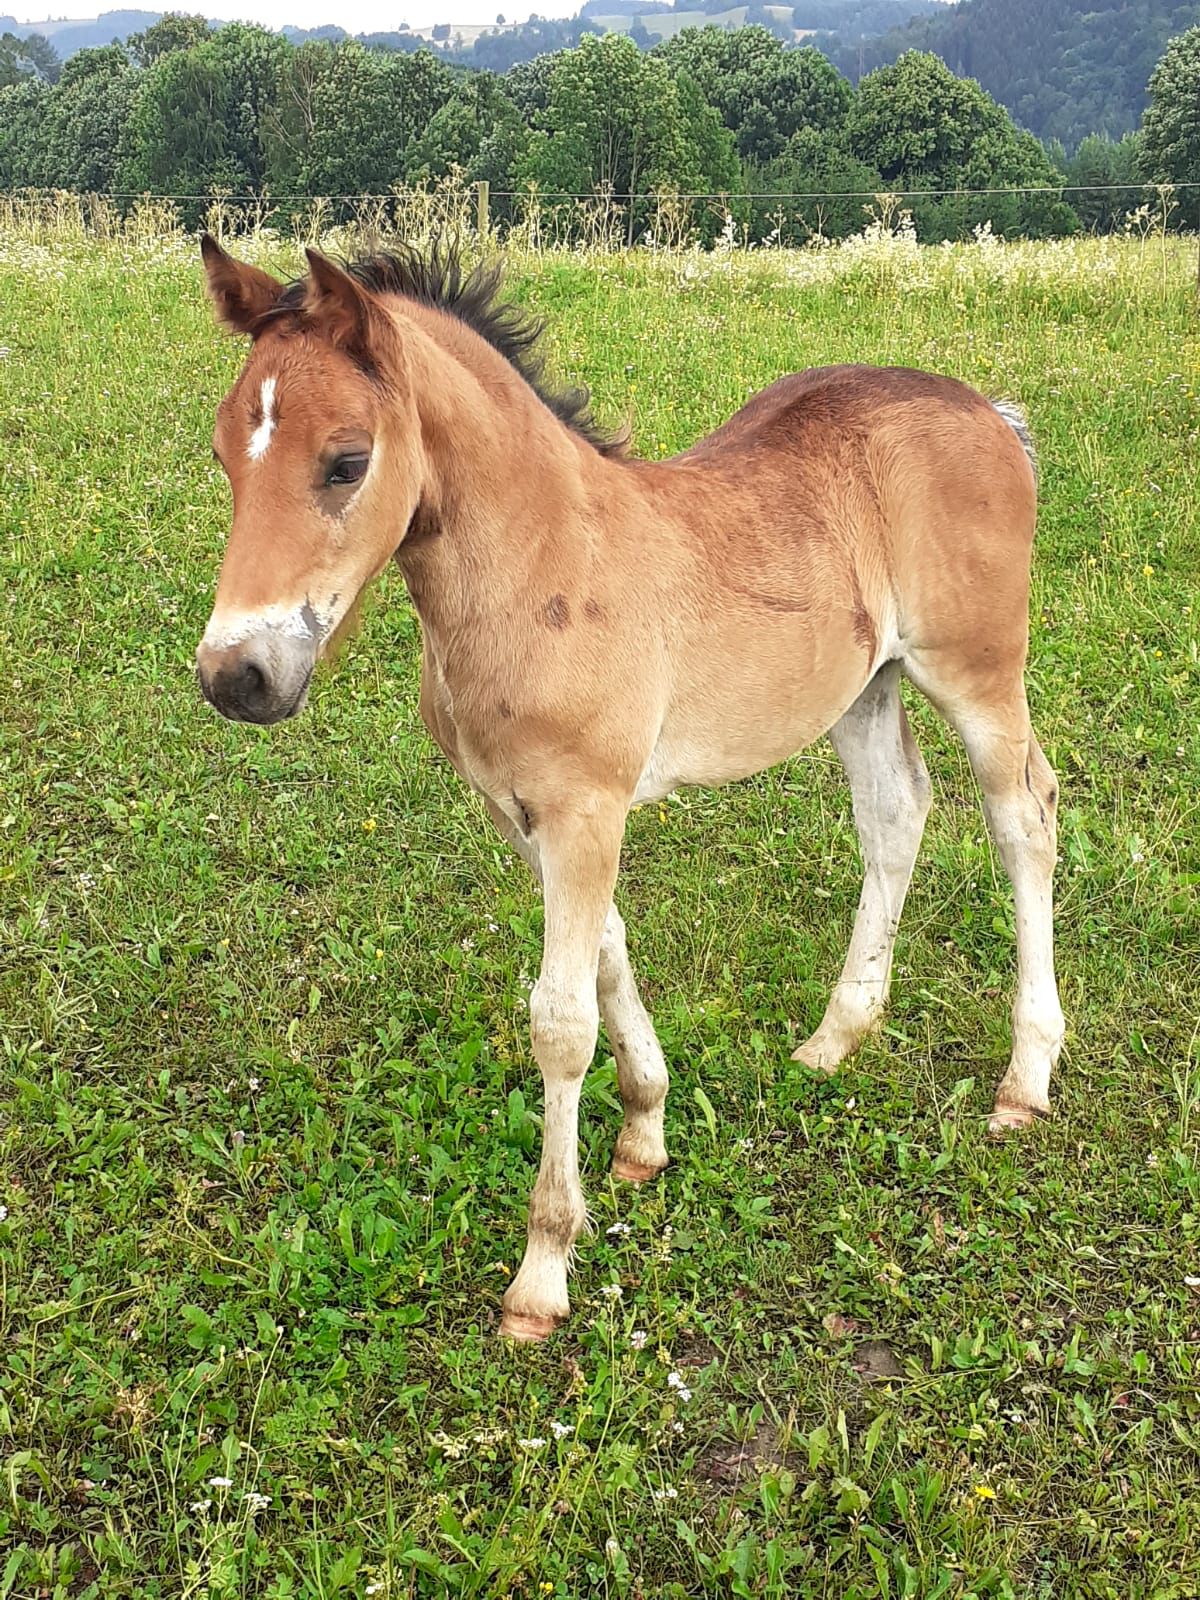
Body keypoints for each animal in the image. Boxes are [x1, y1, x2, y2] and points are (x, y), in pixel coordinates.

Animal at [197, 236, 1068, 1337]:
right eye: (225, 457)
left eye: (346, 461)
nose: (236, 676)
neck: (541, 561)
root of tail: (987, 410)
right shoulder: (530, 811)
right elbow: (607, 949)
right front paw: (646, 1129)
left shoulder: (586, 806)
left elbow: (559, 1022)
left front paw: (542, 1273)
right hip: (864, 685)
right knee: (896, 810)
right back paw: (834, 1039)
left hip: (978, 669)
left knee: (1023, 817)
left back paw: (1025, 1078)